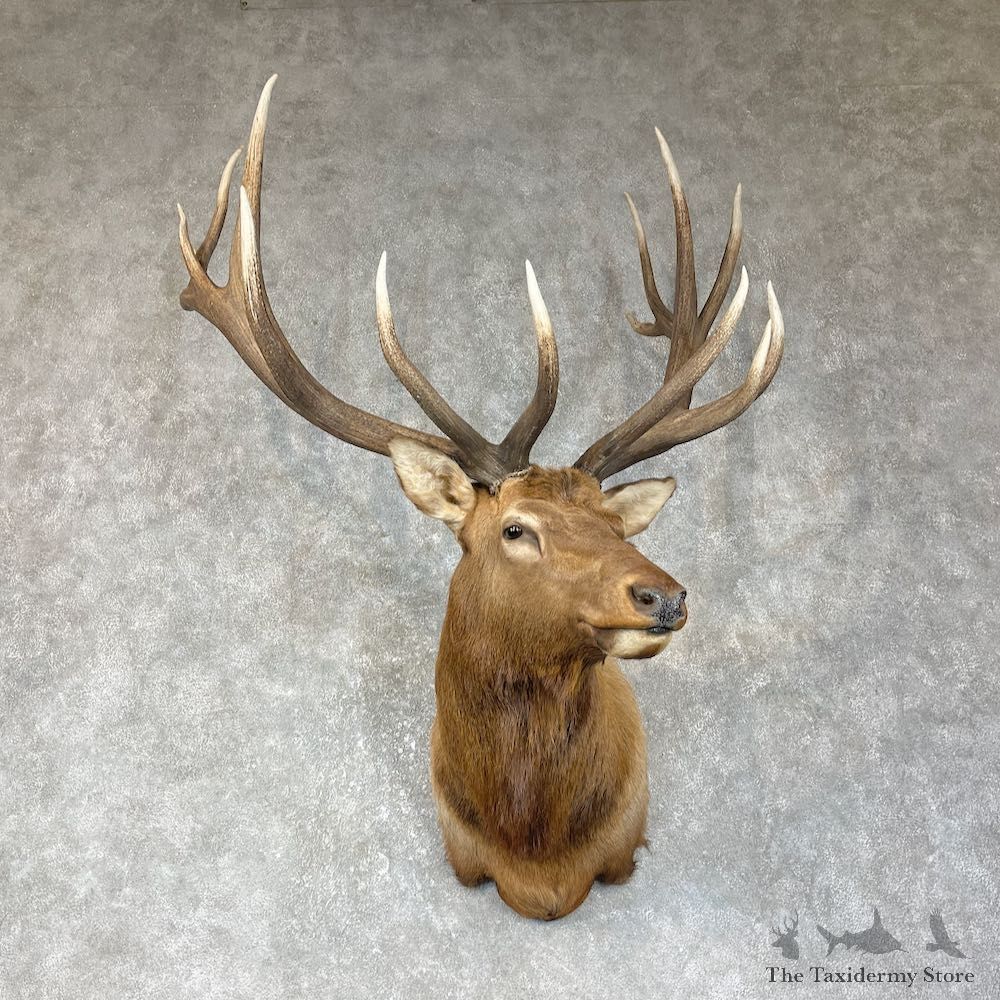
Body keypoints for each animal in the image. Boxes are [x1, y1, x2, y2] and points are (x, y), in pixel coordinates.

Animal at [176, 76, 784, 921]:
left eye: (615, 522)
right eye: (516, 529)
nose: (663, 595)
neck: (539, 862)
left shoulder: (625, 847)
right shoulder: (460, 855)